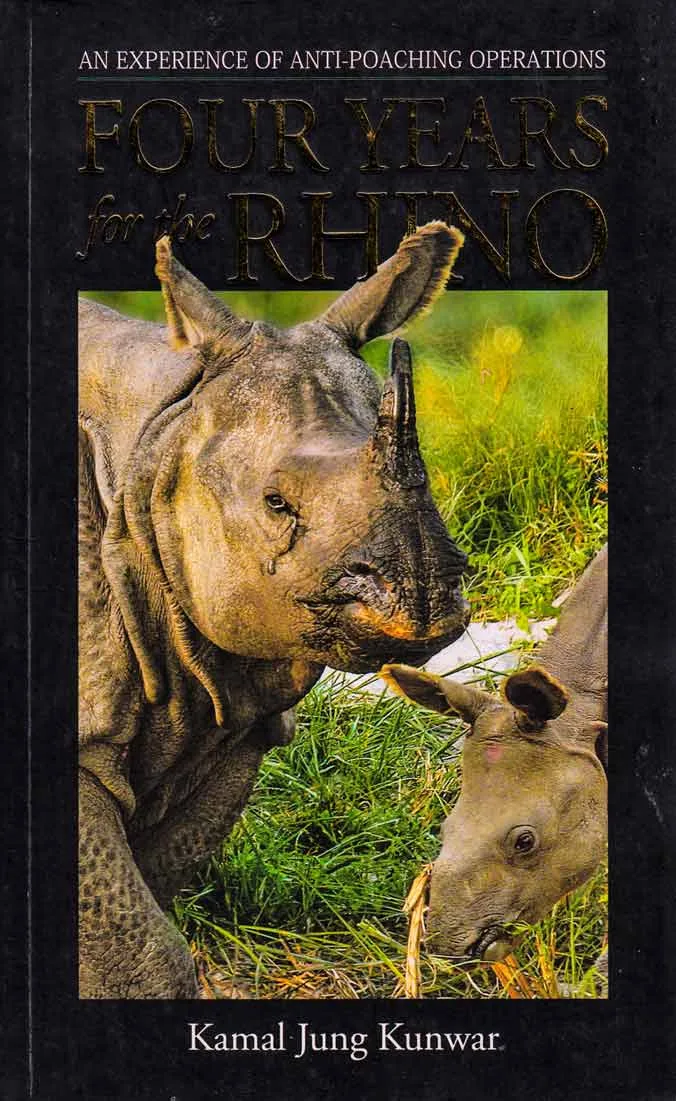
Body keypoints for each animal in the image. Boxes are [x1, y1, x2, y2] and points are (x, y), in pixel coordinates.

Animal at [78, 222, 470, 998]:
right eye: (276, 503)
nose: (424, 601)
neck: (158, 436)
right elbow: (142, 952)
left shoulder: (231, 709)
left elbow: (146, 907)